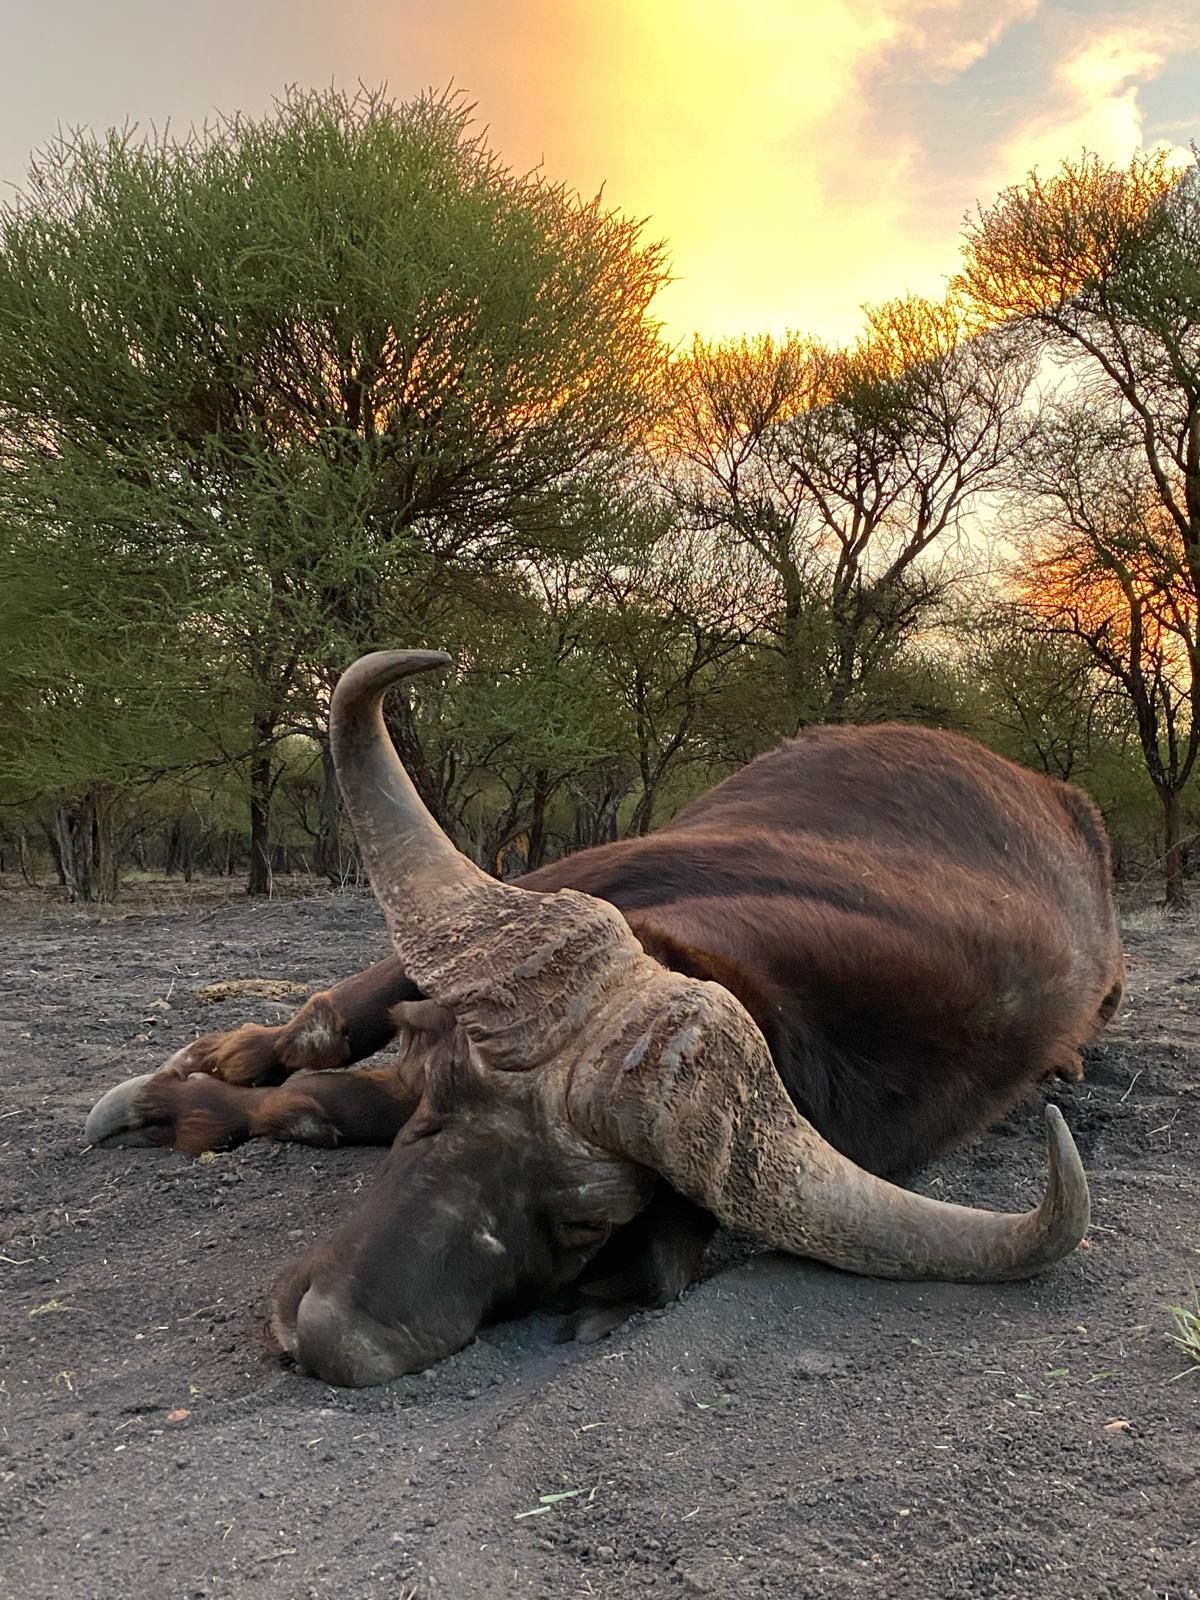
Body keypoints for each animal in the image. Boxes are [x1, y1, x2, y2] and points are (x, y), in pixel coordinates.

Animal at [86, 650, 1125, 1386]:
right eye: (440, 1107)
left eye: (590, 1221)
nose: (328, 1334)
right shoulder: (579, 873)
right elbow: (329, 1043)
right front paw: (175, 1093)